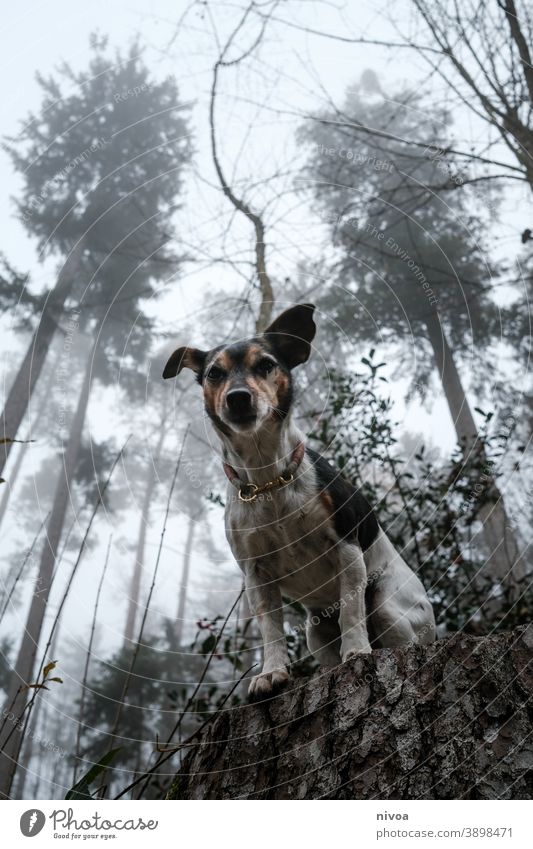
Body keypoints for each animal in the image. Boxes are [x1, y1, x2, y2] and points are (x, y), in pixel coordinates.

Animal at [163, 304, 436, 696]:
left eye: (266, 365)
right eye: (214, 373)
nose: (238, 397)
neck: (268, 479)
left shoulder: (347, 551)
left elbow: (351, 611)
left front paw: (356, 651)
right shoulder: (257, 575)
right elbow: (271, 629)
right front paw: (272, 673)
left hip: (389, 604)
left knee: (395, 633)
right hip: (315, 632)